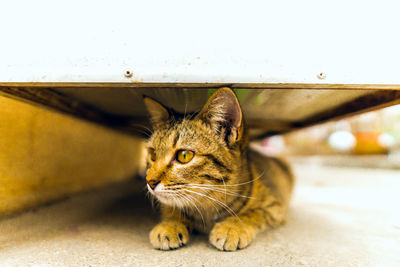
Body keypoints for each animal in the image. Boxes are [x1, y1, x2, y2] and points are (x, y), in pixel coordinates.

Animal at [144, 88, 294, 251]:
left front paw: (232, 227)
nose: (150, 182)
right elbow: (172, 208)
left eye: (184, 155)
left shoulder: (275, 206)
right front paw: (170, 224)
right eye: (153, 154)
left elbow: (252, 213)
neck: (207, 207)